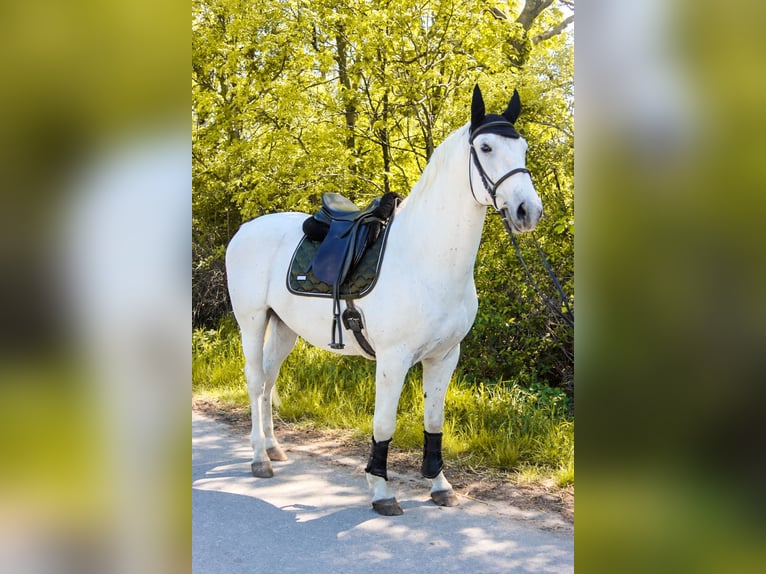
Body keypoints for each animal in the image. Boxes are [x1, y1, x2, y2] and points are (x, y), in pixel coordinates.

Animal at [225, 85, 543, 516]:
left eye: (523, 147)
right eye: (486, 147)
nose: (529, 211)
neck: (425, 257)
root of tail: (245, 229)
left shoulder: (444, 356)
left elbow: (434, 421)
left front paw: (440, 485)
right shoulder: (393, 359)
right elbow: (384, 424)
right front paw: (381, 491)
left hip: (285, 327)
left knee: (269, 378)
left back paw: (274, 449)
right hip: (253, 321)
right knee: (256, 380)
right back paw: (260, 457)